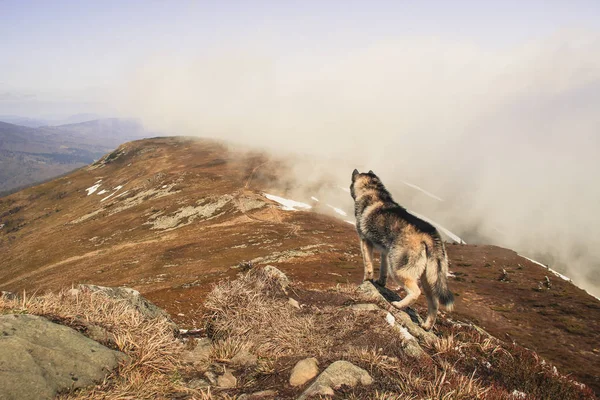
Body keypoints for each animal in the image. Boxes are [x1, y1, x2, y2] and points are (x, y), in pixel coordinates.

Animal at [350, 170, 452, 330]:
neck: (373, 191)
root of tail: (430, 235)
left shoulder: (365, 241)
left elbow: (368, 264)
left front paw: (367, 280)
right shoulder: (385, 252)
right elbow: (383, 268)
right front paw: (380, 282)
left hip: (399, 269)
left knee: (416, 292)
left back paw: (398, 305)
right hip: (429, 278)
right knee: (434, 303)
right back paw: (426, 326)